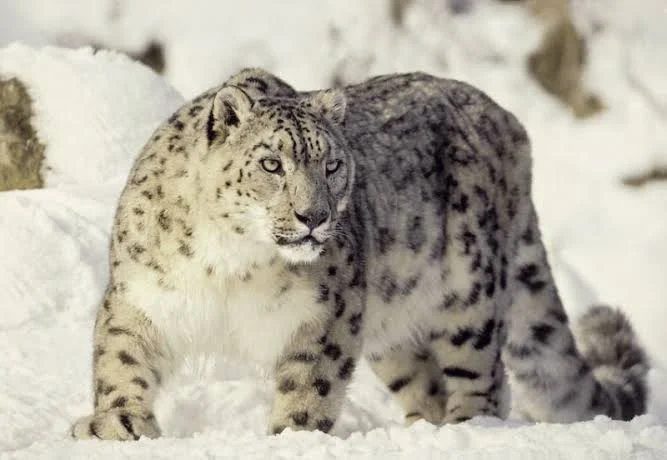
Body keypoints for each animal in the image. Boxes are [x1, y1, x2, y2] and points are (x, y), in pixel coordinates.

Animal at [71, 67, 649, 440]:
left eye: (332, 165)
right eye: (272, 163)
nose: (314, 217)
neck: (231, 263)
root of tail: (509, 122)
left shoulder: (327, 309)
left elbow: (311, 380)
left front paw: (293, 436)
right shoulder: (141, 293)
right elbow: (121, 357)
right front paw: (117, 423)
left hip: (470, 287)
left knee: (484, 375)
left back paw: (468, 429)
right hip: (390, 324)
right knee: (425, 383)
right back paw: (419, 432)